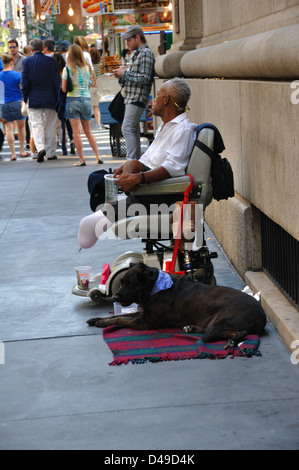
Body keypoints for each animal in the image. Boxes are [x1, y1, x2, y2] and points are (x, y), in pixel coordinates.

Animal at [87, 262, 268, 346]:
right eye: (122, 282)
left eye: (130, 284)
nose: (115, 297)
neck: (153, 288)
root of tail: (261, 313)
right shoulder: (143, 313)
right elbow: (118, 316)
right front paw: (96, 319)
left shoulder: (145, 322)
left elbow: (120, 319)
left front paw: (102, 322)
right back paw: (191, 328)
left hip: (220, 321)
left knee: (238, 332)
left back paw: (230, 340)